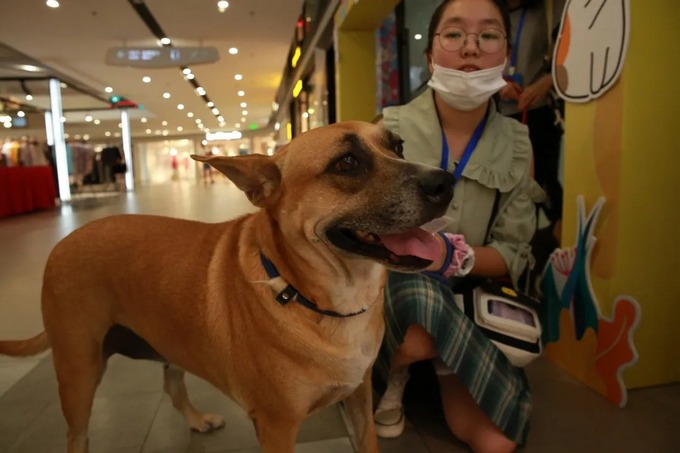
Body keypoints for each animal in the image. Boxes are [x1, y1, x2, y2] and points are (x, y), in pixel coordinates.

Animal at [0, 121, 454, 453]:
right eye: (346, 163)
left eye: (398, 146)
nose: (445, 181)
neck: (315, 298)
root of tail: (66, 239)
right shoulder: (277, 428)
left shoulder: (359, 399)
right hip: (79, 373)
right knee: (77, 434)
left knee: (172, 385)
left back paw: (197, 420)